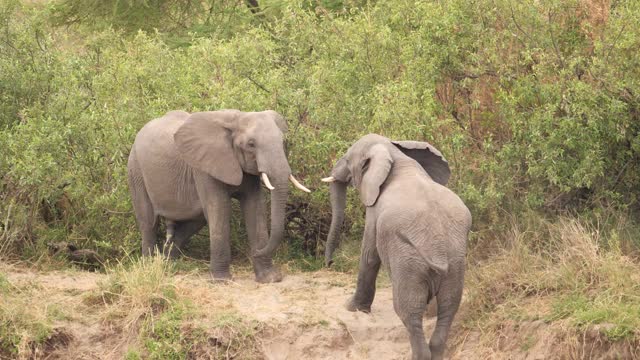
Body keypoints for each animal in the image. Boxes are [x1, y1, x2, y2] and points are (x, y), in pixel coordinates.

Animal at [126, 108, 312, 282]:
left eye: (283, 142)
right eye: (251, 144)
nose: (256, 252)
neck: (237, 119)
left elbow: (255, 208)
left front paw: (270, 279)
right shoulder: (204, 166)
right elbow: (219, 209)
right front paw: (221, 281)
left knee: (195, 220)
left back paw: (167, 264)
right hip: (135, 170)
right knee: (148, 222)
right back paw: (149, 268)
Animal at [324, 134, 470, 360]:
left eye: (348, 160)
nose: (329, 263)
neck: (393, 152)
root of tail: (438, 249)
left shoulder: (374, 210)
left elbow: (369, 255)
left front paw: (350, 308)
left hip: (408, 261)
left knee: (409, 310)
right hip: (455, 262)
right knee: (449, 306)